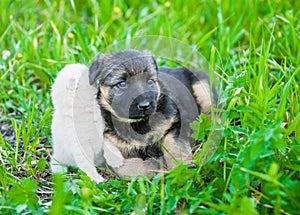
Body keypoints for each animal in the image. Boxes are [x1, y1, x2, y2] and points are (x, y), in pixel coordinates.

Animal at [88, 49, 217, 174]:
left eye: (150, 81)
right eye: (122, 83)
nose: (144, 105)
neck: (138, 123)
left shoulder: (175, 123)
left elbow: (174, 146)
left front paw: (182, 169)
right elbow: (125, 167)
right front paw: (152, 166)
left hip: (203, 88)